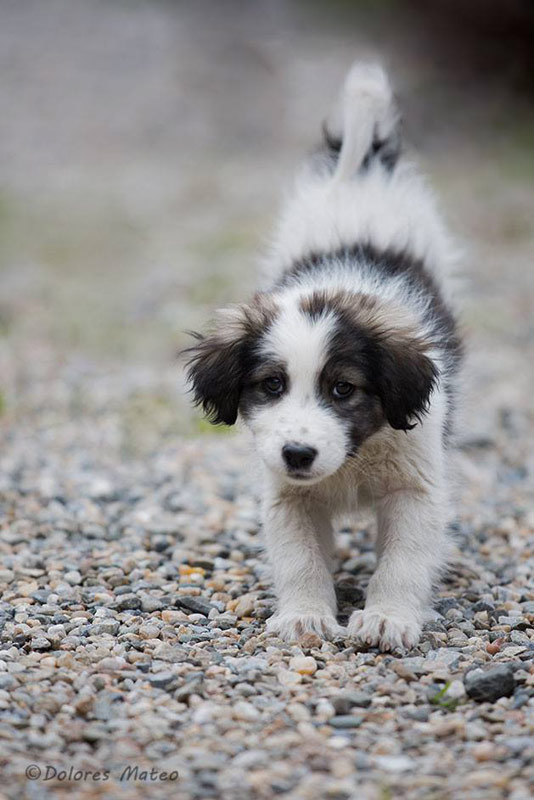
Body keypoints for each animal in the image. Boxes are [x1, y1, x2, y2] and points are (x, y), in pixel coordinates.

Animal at [186, 62, 462, 648]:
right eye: (272, 385)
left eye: (343, 389)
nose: (298, 455)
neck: (355, 458)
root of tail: (360, 173)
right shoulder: (288, 495)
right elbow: (301, 559)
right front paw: (305, 615)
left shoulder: (415, 485)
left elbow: (403, 559)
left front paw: (387, 618)